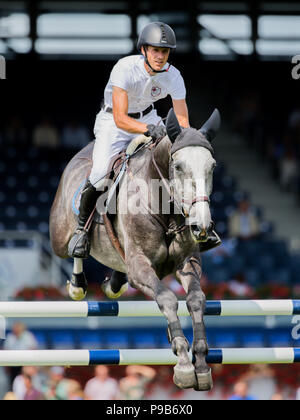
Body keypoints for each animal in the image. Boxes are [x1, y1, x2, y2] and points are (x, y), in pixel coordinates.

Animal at [49, 108, 220, 390]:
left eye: (212, 166)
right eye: (178, 166)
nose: (202, 226)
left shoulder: (187, 262)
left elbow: (196, 300)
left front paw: (202, 364)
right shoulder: (141, 266)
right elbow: (167, 299)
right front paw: (184, 364)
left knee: (118, 268)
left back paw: (114, 283)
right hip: (59, 238)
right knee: (73, 250)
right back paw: (77, 282)